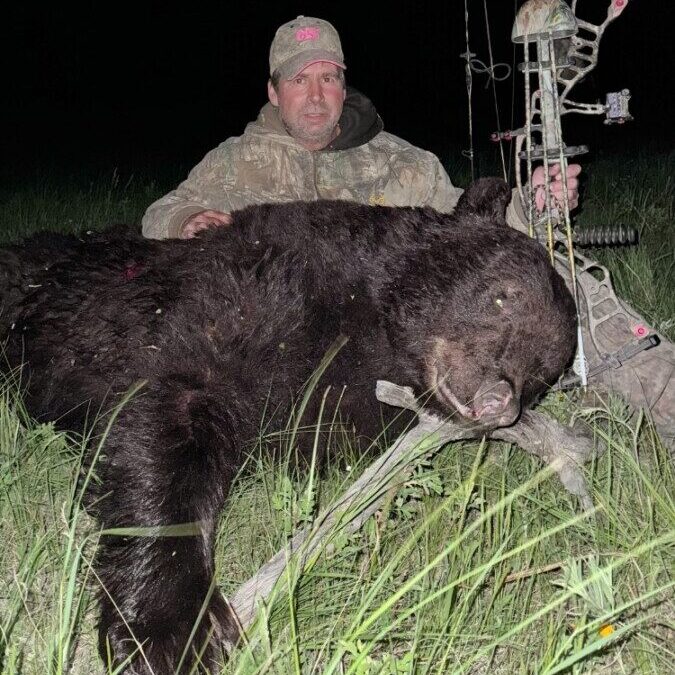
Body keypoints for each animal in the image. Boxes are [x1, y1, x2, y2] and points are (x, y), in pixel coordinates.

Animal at [0, 178, 576, 673]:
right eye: (501, 295)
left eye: (541, 372)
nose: (499, 399)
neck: (365, 321)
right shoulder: (221, 306)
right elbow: (162, 421)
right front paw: (172, 635)